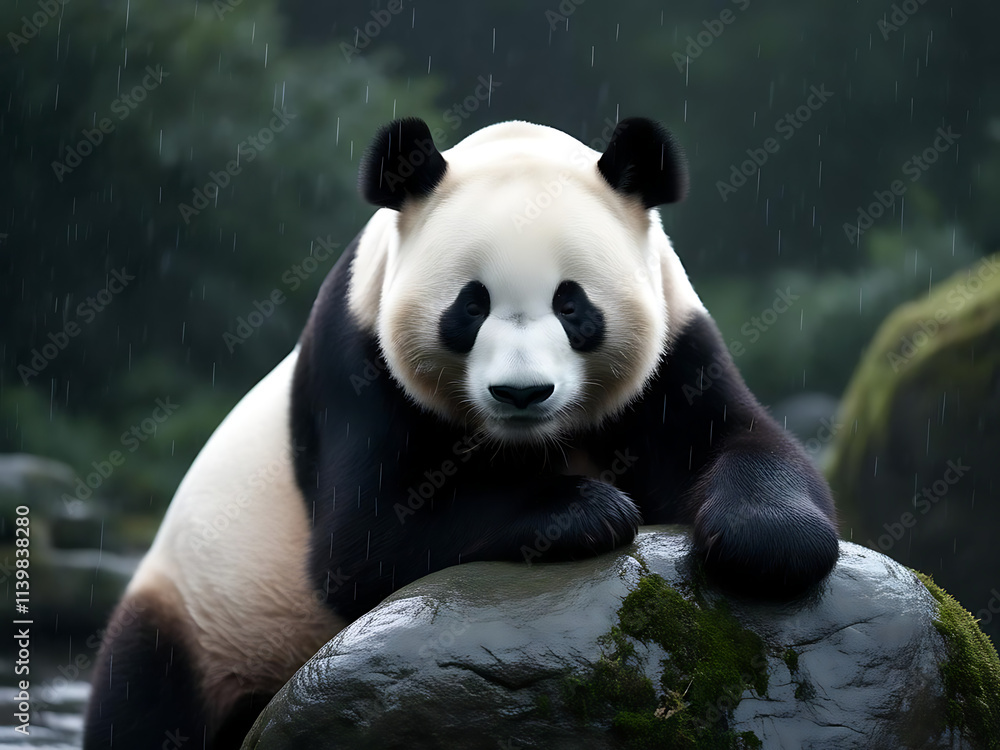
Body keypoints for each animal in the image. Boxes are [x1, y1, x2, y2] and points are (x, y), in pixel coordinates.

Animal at [83, 116, 839, 749]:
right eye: (470, 307)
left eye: (573, 305)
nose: (522, 393)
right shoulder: (357, 363)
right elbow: (366, 538)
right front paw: (584, 509)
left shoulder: (677, 344)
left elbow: (738, 443)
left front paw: (767, 541)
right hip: (210, 611)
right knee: (147, 698)